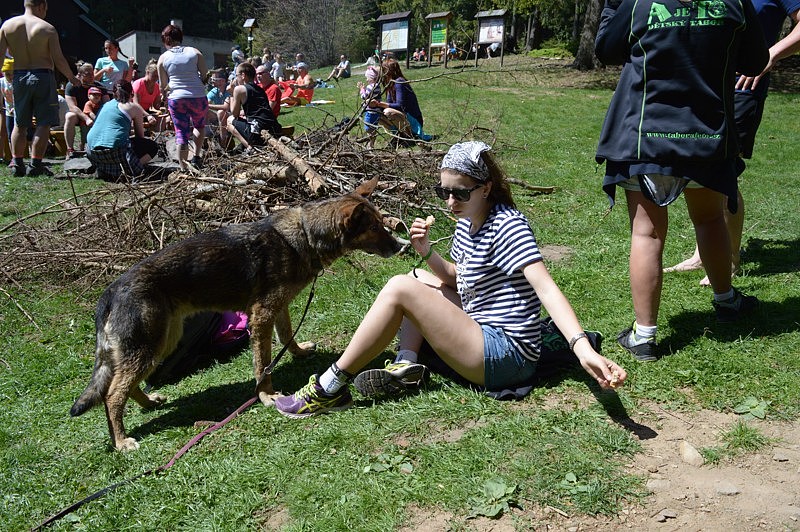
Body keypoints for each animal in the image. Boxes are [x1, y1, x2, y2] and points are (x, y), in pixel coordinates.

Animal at [72, 179, 404, 448]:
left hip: (161, 343)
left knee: (124, 385)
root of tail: (111, 291)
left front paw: (298, 352)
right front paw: (266, 395)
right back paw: (121, 441)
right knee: (112, 394)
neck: (306, 235)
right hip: (149, 347)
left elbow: (287, 335)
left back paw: (148, 402)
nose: (400, 247)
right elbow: (263, 364)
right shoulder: (262, 317)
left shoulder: (279, 309)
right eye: (375, 228)